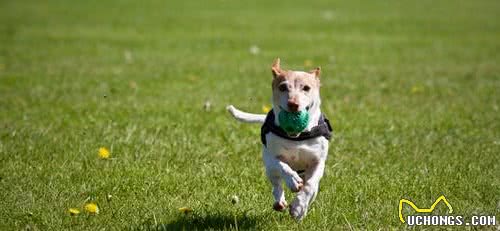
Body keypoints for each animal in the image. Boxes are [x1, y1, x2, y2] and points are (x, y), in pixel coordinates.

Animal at [228, 57, 332, 220]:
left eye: (306, 88)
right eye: (283, 87)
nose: (293, 104)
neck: (297, 137)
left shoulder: (318, 162)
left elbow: (309, 186)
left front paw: (298, 207)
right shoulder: (271, 157)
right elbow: (282, 166)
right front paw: (293, 181)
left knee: (312, 189)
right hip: (270, 170)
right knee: (276, 184)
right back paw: (279, 202)